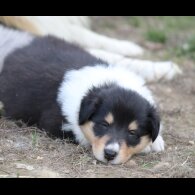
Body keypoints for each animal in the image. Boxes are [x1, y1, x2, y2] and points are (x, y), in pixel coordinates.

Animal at [0, 25, 165, 164]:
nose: (109, 154)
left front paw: (156, 142)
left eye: (132, 132)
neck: (107, 83)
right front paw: (149, 146)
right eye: (104, 124)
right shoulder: (57, 124)